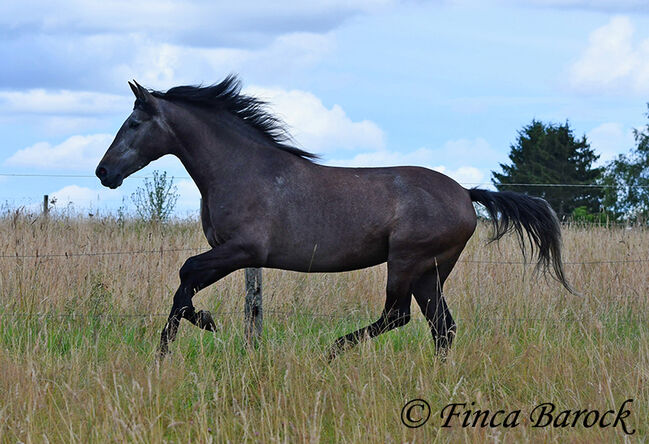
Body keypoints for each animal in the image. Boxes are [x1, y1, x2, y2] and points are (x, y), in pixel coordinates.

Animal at [95, 75, 572, 360]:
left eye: (134, 123)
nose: (104, 172)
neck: (241, 169)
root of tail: (466, 194)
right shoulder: (230, 253)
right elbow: (187, 282)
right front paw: (200, 326)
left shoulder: (243, 250)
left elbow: (185, 273)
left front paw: (178, 342)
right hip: (431, 271)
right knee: (442, 327)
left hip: (407, 261)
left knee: (399, 316)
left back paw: (332, 351)